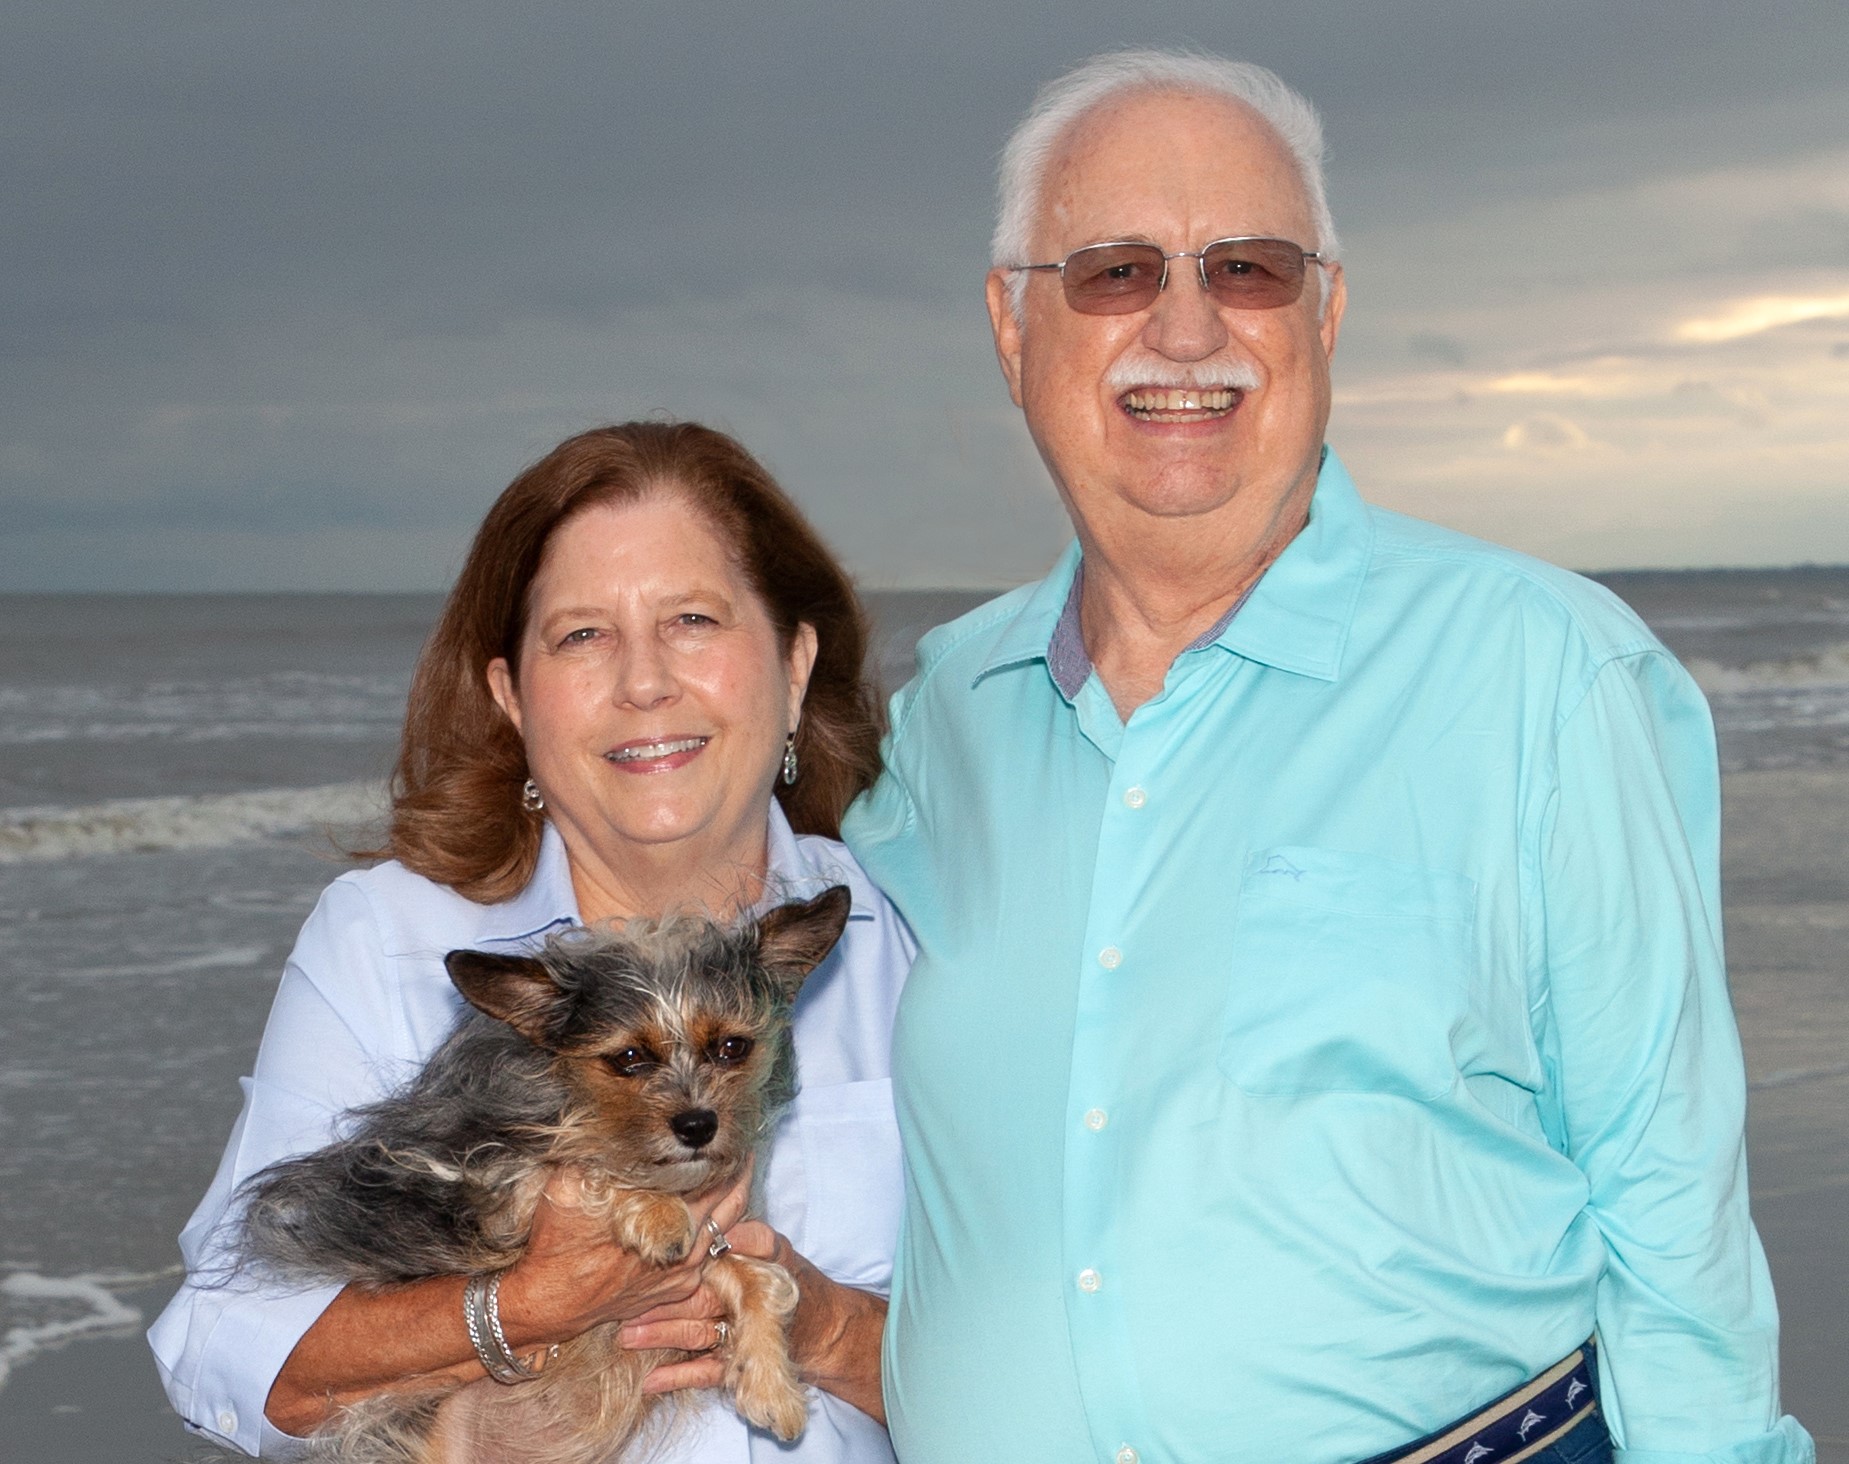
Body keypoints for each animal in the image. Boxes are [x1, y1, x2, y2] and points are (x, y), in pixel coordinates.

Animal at [229, 879, 850, 1464]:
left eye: (731, 1047)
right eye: (629, 1058)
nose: (698, 1125)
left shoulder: (719, 1243)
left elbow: (759, 1277)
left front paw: (771, 1384)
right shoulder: (468, 1187)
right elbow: (569, 1165)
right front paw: (653, 1211)